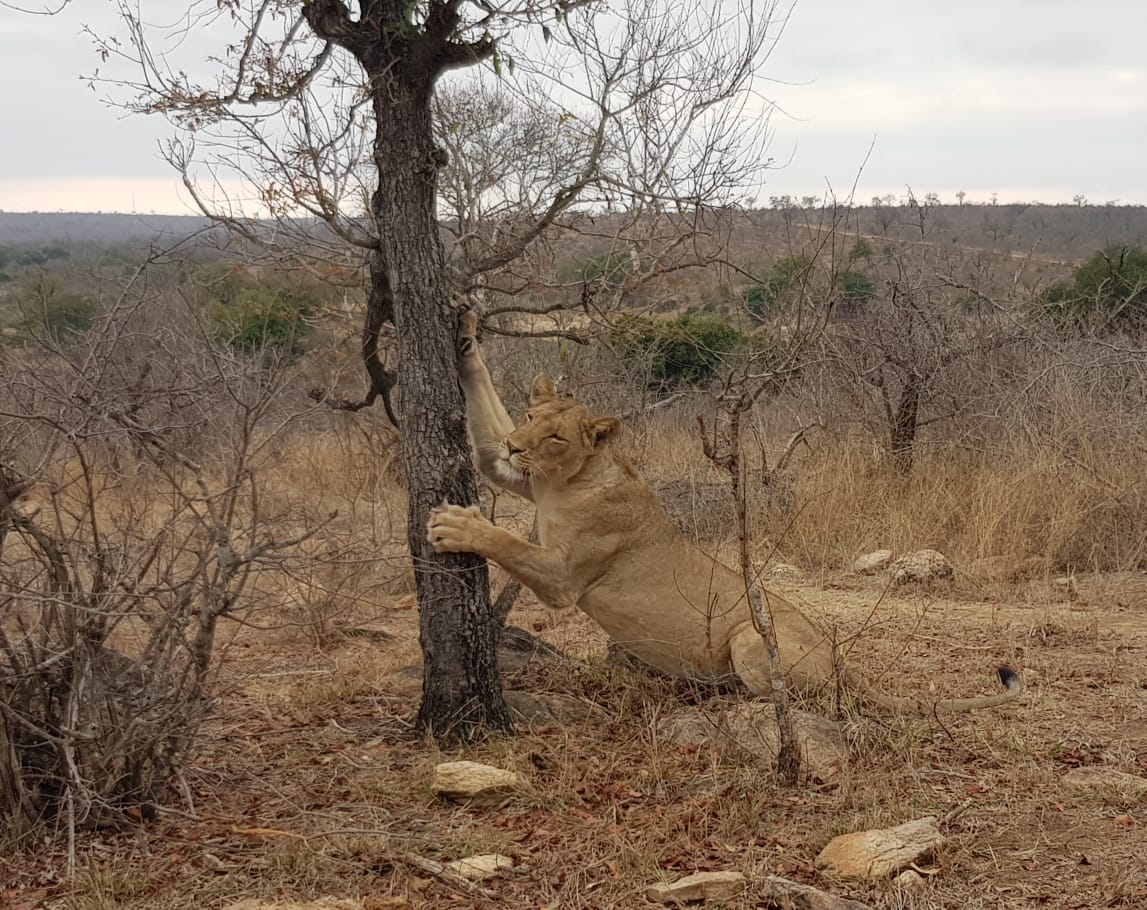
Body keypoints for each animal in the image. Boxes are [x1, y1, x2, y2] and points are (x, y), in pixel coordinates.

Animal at [427, 308, 1022, 713]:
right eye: (529, 418)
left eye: (554, 437)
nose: (517, 447)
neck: (565, 481)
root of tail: (840, 660)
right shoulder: (512, 476)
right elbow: (484, 421)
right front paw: (464, 329)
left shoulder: (564, 575)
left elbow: (508, 541)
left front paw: (455, 525)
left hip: (749, 635)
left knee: (796, 699)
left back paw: (732, 699)